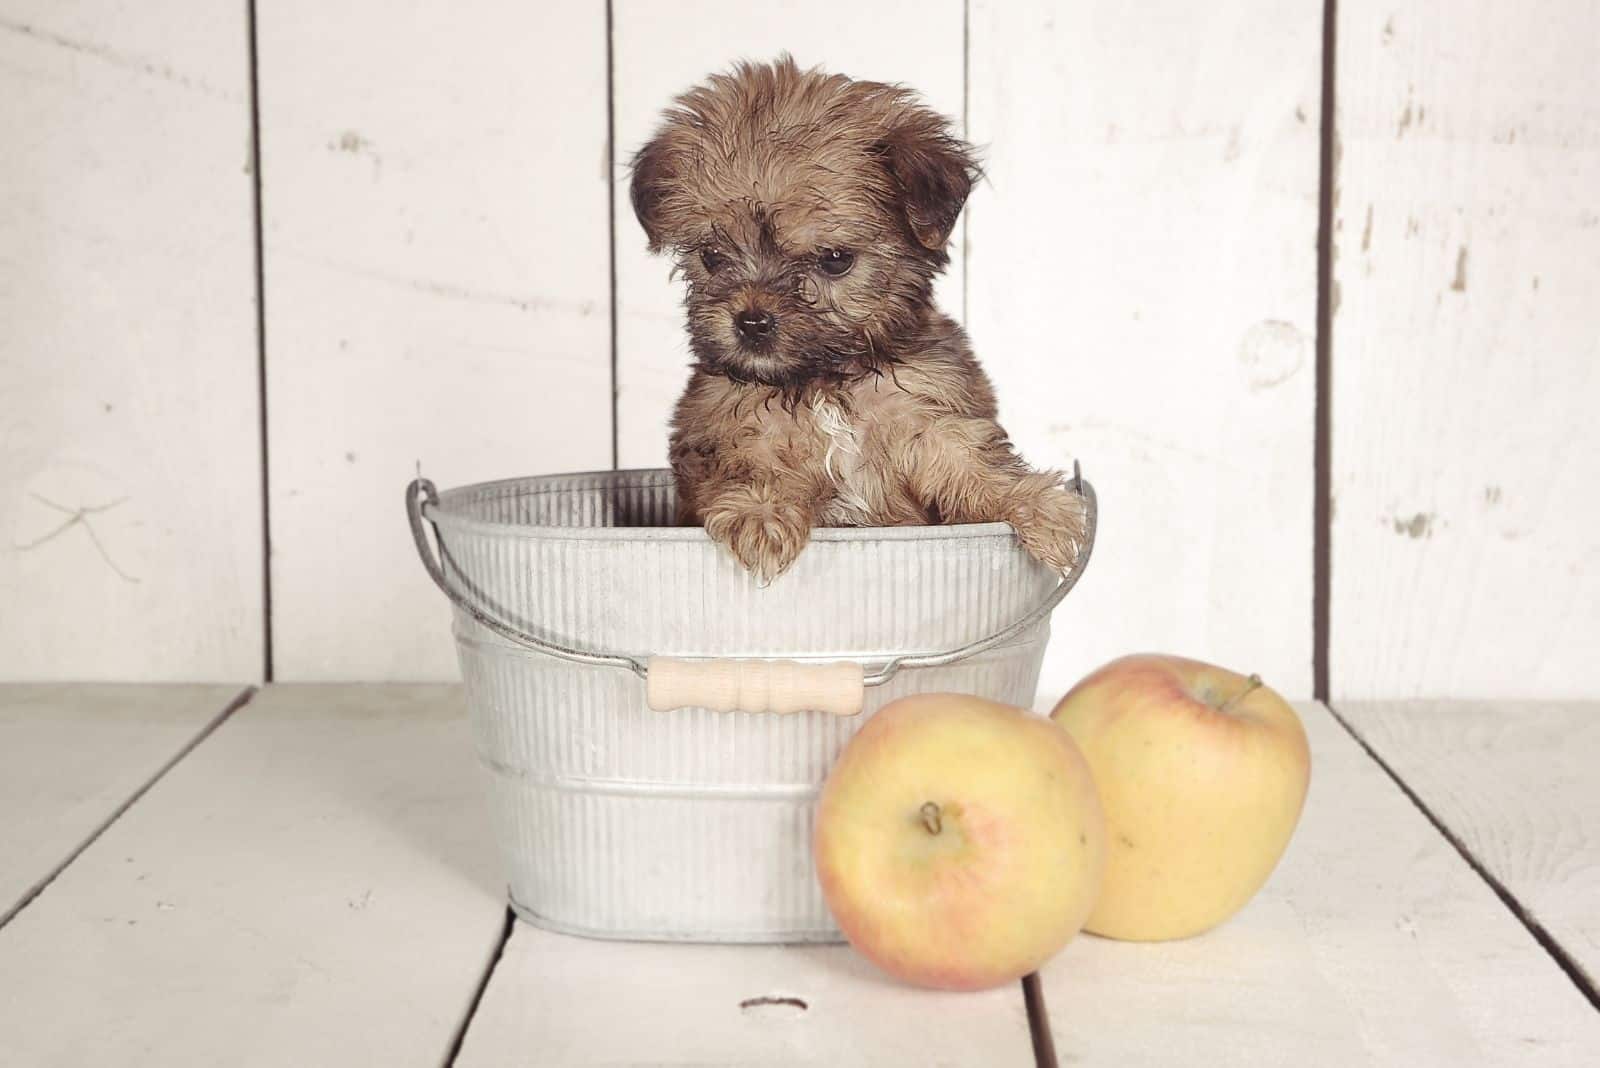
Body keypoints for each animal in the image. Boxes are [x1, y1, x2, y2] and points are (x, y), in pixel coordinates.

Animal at [627, 58, 1088, 585]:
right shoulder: (723, 424)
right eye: (711, 256)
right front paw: (760, 512)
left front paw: (1034, 504)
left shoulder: (928, 415)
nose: (752, 322)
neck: (824, 380)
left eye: (834, 260)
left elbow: (972, 459)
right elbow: (747, 461)